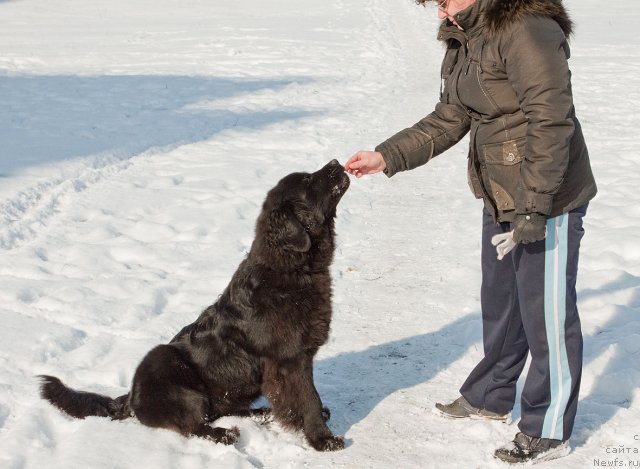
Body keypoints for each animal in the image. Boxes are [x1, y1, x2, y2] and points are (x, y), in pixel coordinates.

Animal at [38, 158, 350, 450]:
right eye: (308, 180)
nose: (336, 162)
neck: (292, 269)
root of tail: (129, 395)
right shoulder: (290, 358)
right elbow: (309, 397)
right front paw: (322, 438)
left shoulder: (299, 356)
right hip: (168, 367)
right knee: (193, 425)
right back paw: (226, 434)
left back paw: (259, 413)